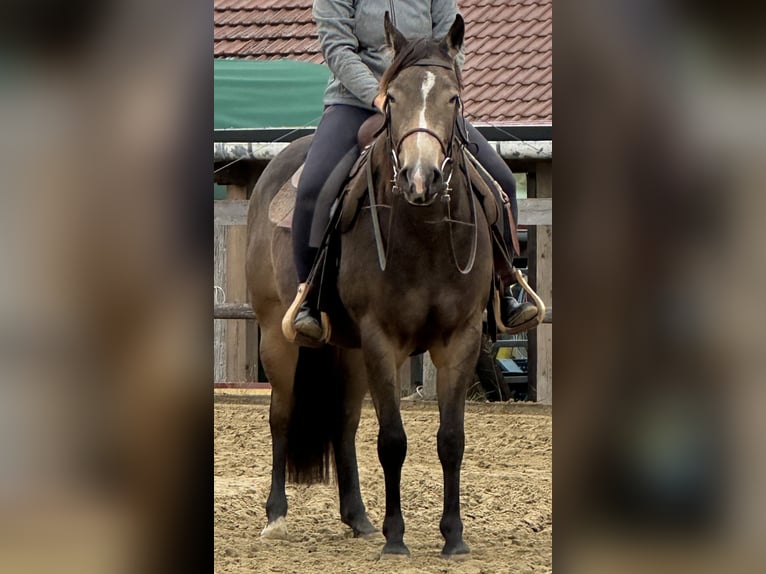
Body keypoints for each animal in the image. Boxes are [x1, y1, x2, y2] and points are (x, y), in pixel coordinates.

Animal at [245, 14, 493, 558]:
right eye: (392, 99)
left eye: (453, 98)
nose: (420, 178)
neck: (423, 235)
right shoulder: (382, 339)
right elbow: (393, 440)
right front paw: (396, 538)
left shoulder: (460, 338)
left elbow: (452, 439)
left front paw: (453, 537)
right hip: (277, 335)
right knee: (280, 416)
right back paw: (276, 516)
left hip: (350, 350)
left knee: (343, 424)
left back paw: (357, 516)